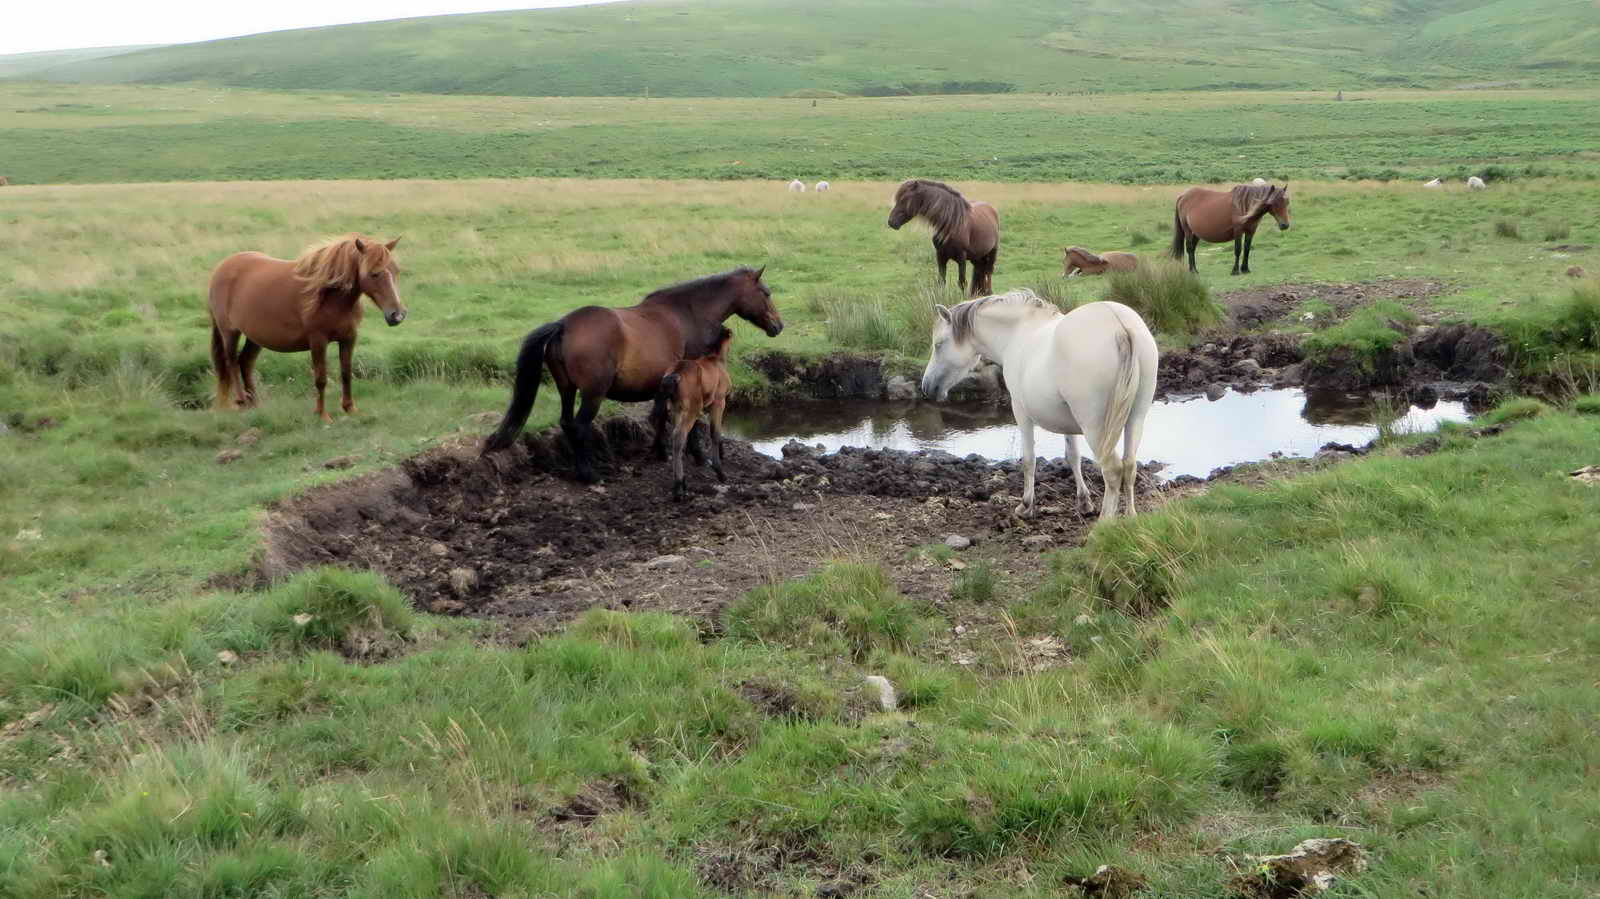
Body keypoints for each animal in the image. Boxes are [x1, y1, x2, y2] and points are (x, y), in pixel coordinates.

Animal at [207, 235, 406, 422]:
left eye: (396, 270)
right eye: (374, 273)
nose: (397, 315)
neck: (330, 297)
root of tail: (221, 268)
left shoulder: (349, 338)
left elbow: (346, 374)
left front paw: (350, 408)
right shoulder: (318, 341)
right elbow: (321, 379)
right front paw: (322, 414)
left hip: (255, 337)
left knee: (246, 362)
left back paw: (254, 404)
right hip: (230, 332)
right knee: (231, 363)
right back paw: (241, 400)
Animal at [653, 327, 733, 500]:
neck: (715, 360)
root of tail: (674, 375)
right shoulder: (719, 402)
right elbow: (715, 433)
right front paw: (720, 472)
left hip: (676, 409)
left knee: (676, 438)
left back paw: (681, 483)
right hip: (692, 410)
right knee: (678, 437)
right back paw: (678, 488)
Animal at [919, 289, 1157, 521]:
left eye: (938, 345)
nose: (927, 386)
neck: (1017, 332)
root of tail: (1119, 326)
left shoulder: (1021, 413)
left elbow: (1029, 460)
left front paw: (1026, 505)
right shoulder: (1066, 421)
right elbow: (1073, 456)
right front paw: (1084, 502)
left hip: (1095, 427)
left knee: (1113, 469)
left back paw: (1104, 524)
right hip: (1135, 419)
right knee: (1129, 465)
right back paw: (1131, 517)